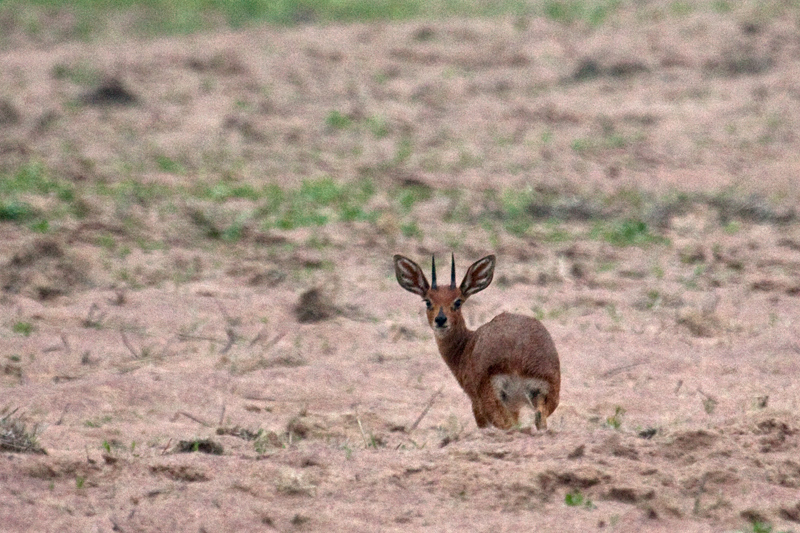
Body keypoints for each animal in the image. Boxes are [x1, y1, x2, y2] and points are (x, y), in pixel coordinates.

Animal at [396, 254, 564, 432]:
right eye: (427, 301)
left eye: (458, 301)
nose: (440, 320)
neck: (465, 346)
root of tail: (519, 355)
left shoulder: (475, 402)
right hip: (544, 396)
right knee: (538, 421)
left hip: (491, 400)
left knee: (507, 425)